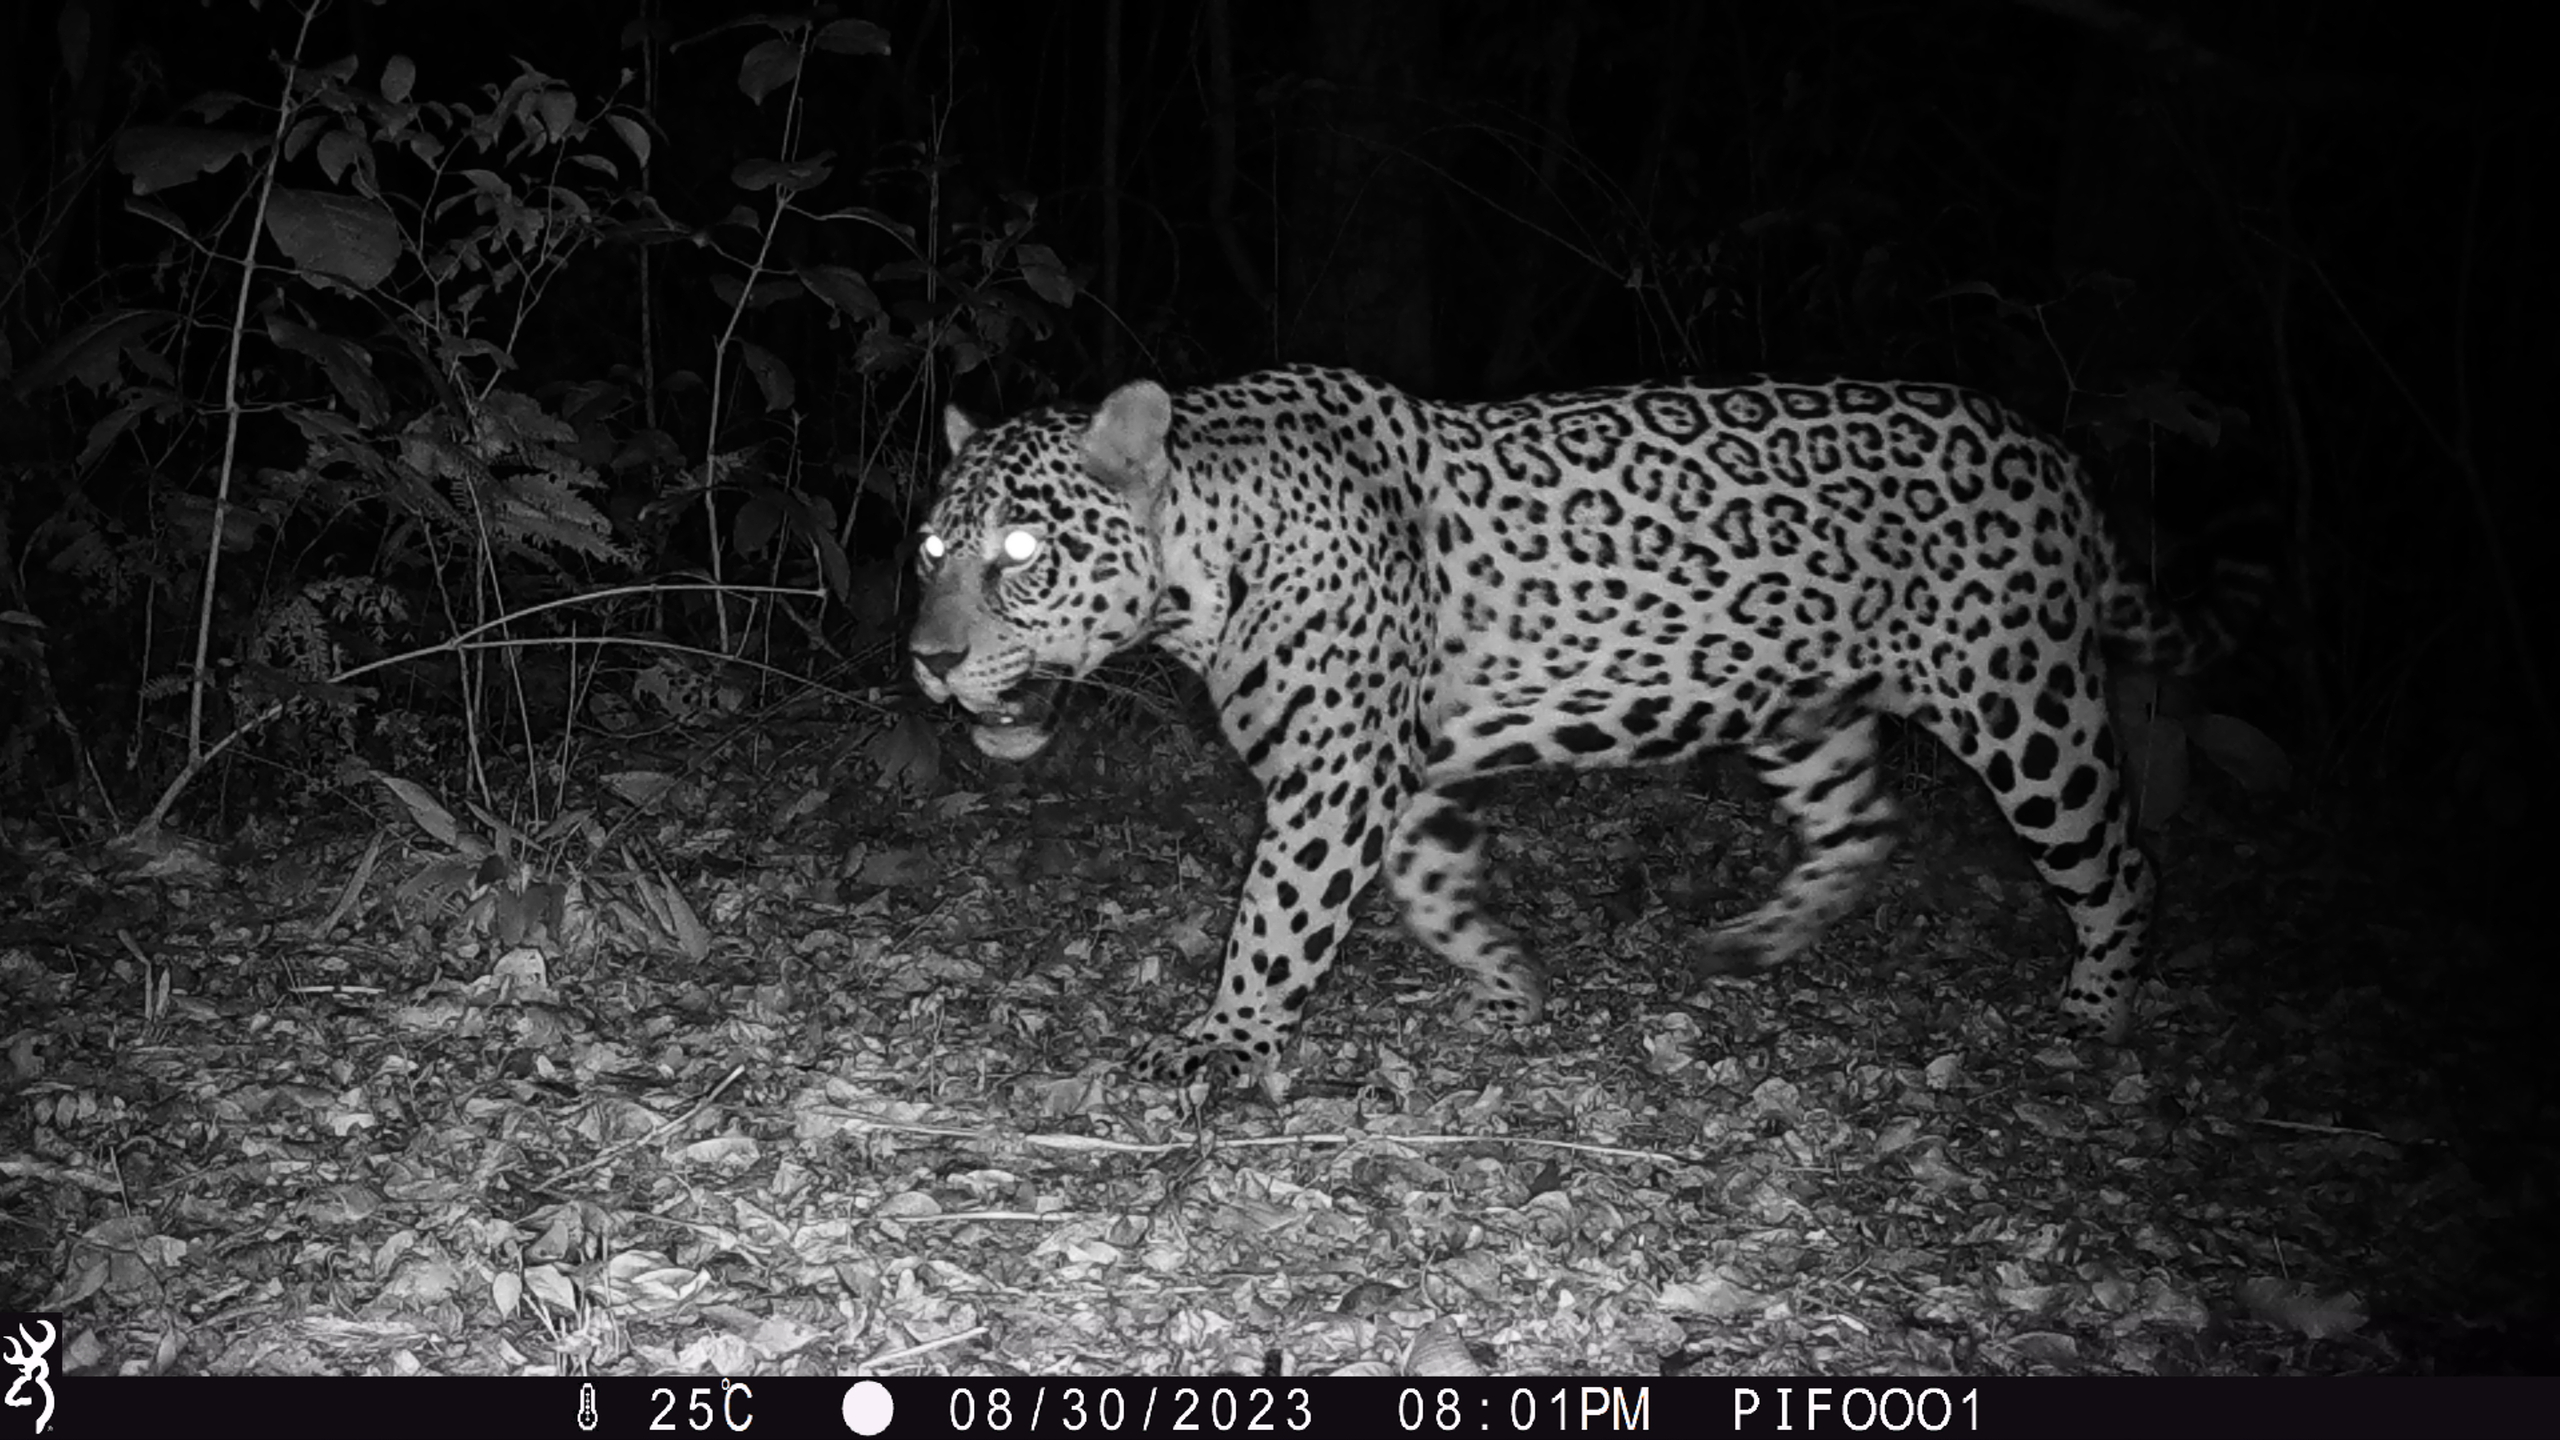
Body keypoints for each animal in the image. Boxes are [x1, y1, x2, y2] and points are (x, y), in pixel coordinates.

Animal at [911, 365, 2253, 1085]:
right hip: (1795, 695)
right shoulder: (1405, 770)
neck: (1208, 560)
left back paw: (2091, 1018)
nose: (928, 660)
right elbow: (1431, 887)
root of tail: (2057, 459)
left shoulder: (1339, 774)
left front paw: (1227, 1043)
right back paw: (1746, 945)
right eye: (928, 549)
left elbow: (1278, 915)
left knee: (2117, 860)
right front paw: (1508, 981)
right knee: (1862, 824)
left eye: (1021, 553)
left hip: (2020, 700)